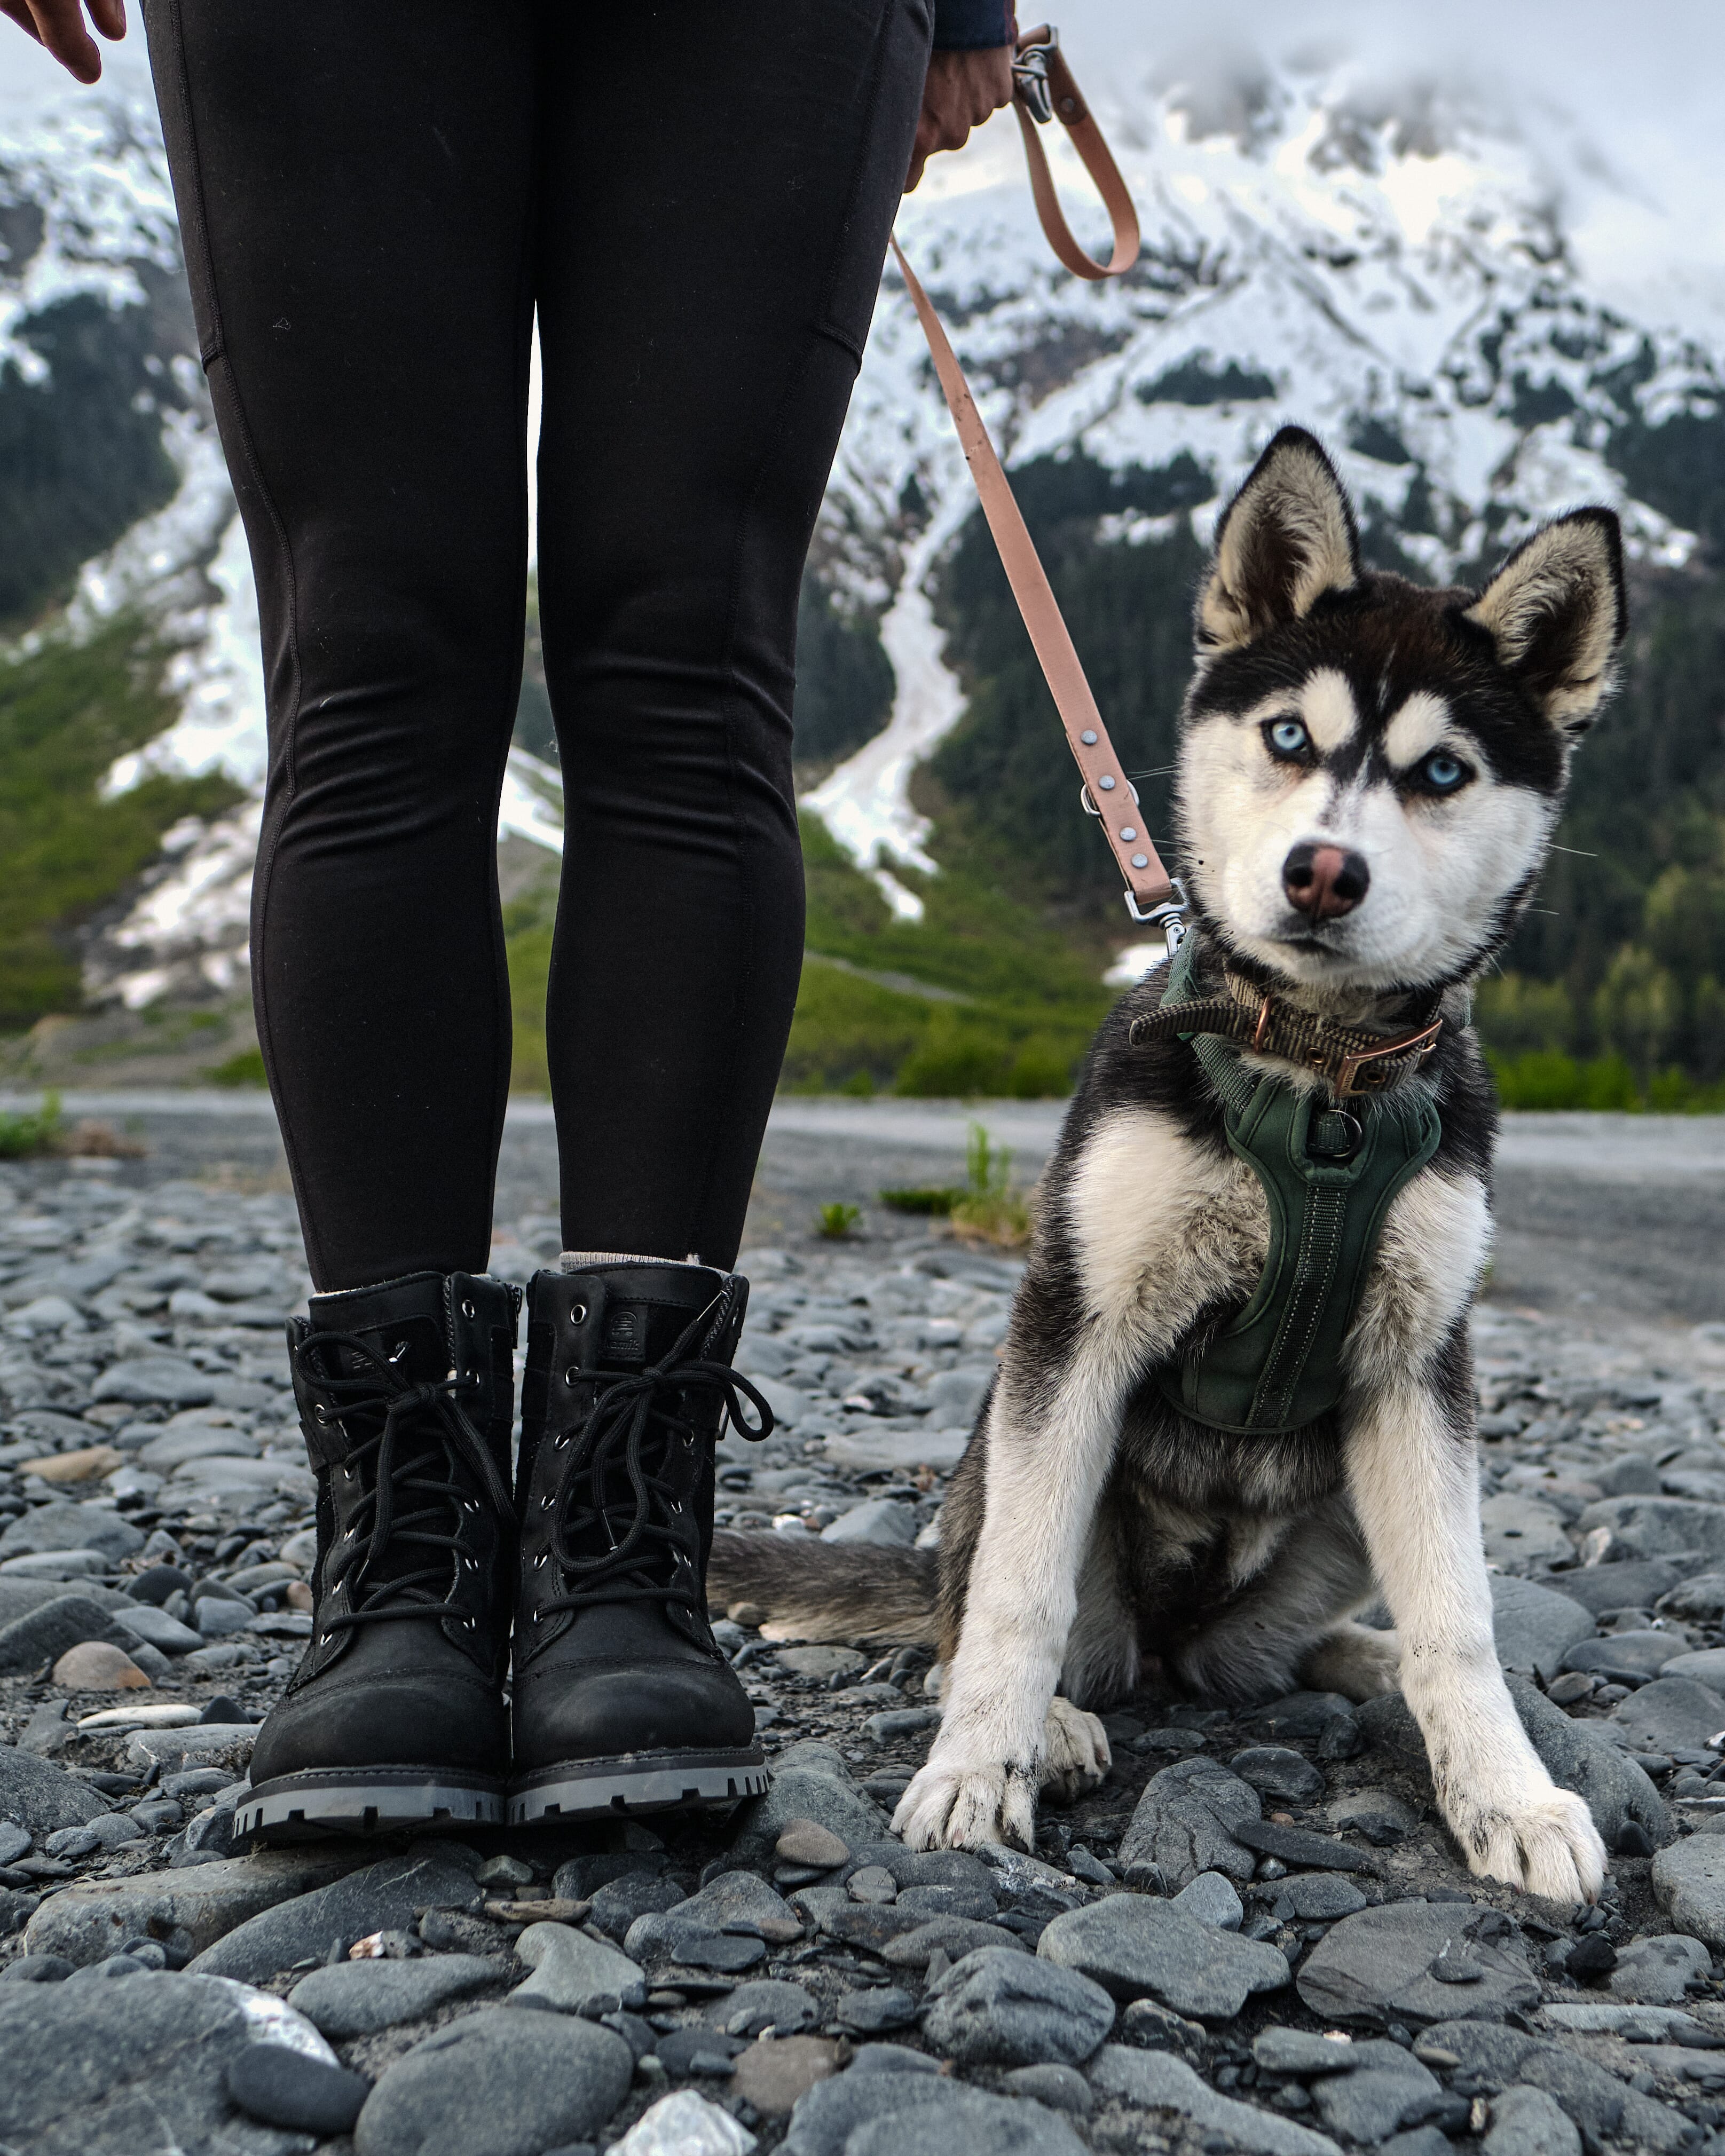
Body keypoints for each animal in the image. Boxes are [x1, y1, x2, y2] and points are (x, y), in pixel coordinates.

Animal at [715, 424, 1630, 1906]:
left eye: (1440, 774)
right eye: (1288, 736)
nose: (1322, 872)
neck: (1317, 1087)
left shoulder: (1419, 1367)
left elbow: (1461, 1615)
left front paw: (1502, 1791)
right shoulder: (1074, 1322)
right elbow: (1016, 1598)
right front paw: (980, 1769)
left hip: (1333, 1518)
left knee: (1255, 1654)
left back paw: (1366, 1665)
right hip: (1005, 1452)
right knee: (976, 1610)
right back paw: (1047, 1716)